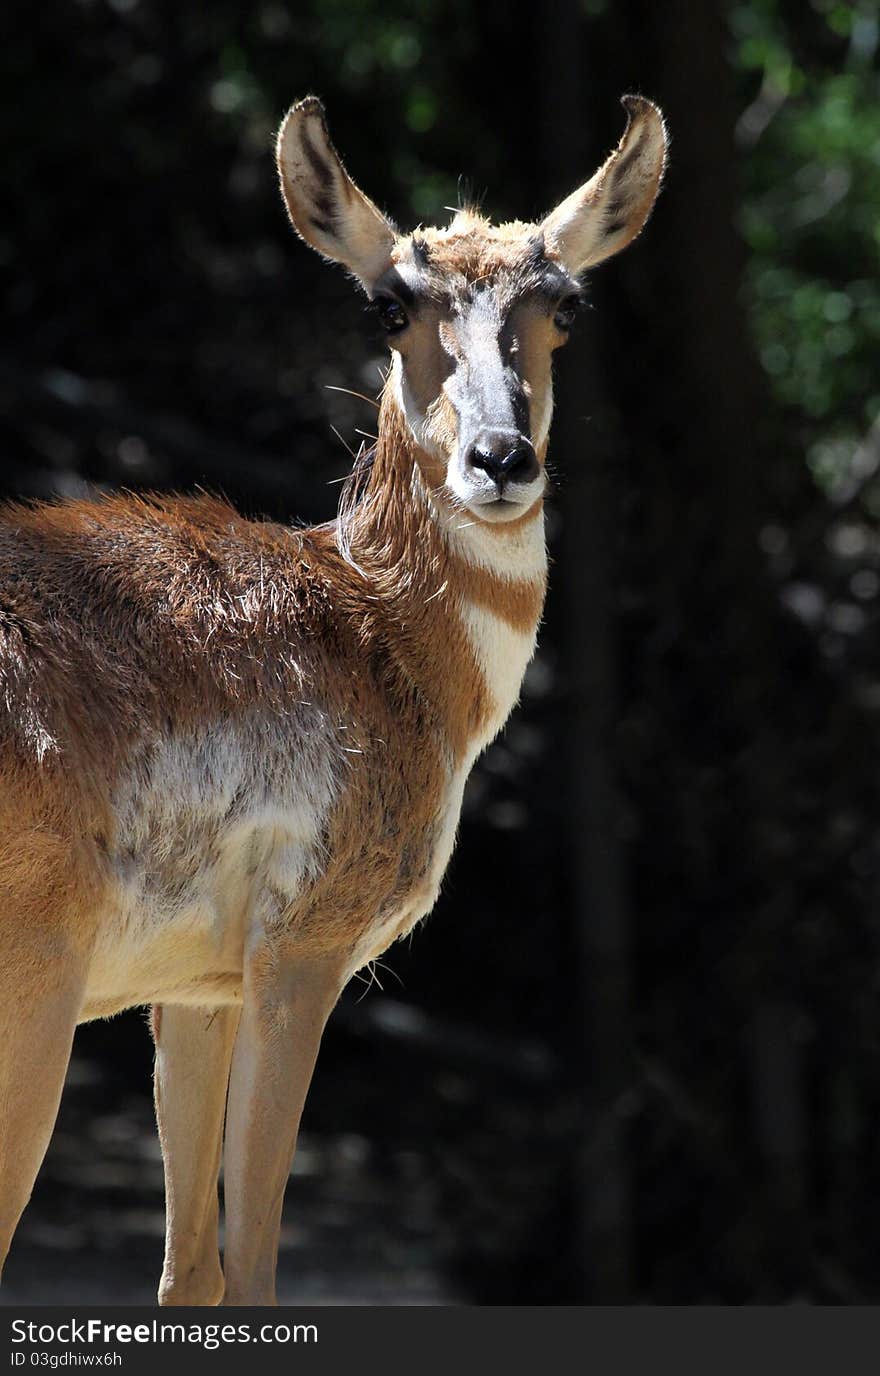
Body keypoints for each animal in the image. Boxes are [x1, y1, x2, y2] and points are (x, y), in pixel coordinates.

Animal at [0, 94, 662, 1298]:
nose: (501, 457)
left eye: (565, 304)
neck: (374, 629)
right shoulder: (303, 946)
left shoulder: (194, 987)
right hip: (37, 983)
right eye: (390, 302)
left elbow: (189, 1273)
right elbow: (255, 1261)